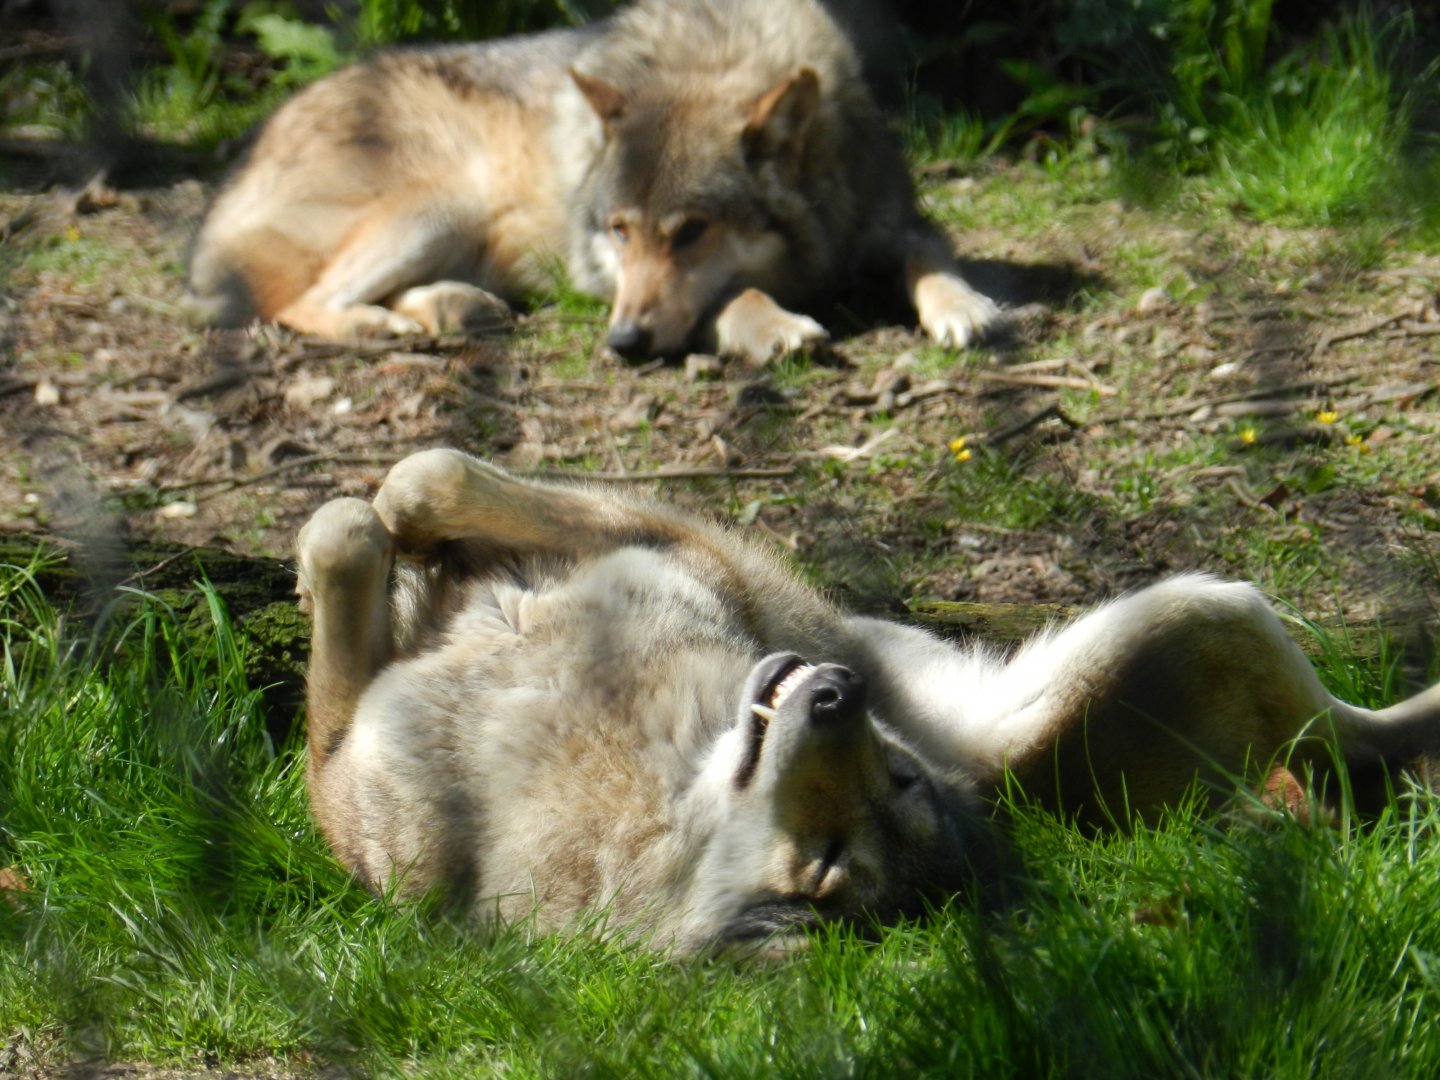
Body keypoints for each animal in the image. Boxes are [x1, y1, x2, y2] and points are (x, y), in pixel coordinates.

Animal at [185, 0, 1000, 363]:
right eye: (618, 231)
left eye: (694, 231)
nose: (623, 342)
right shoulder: (608, 278)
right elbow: (733, 294)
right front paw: (773, 325)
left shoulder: (894, 222)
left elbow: (930, 256)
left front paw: (965, 307)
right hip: (441, 204)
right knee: (297, 302)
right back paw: (381, 325)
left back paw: (450, 307)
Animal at [295, 448, 1440, 953]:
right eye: (889, 780)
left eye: (830, 864)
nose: (833, 692)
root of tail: (993, 782)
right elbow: (414, 486)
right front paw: (404, 539)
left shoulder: (339, 761)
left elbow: (375, 511)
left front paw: (366, 539)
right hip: (1180, 627)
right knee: (1349, 753)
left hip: (1203, 609)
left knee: (1356, 739)